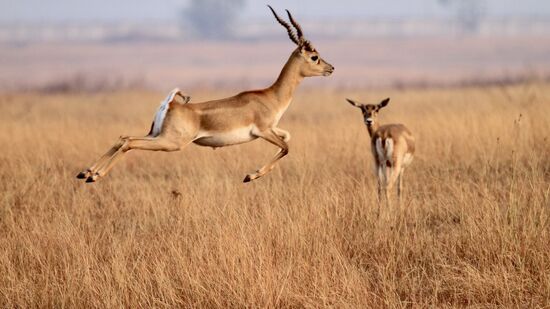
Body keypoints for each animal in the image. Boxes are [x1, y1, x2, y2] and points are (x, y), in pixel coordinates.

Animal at [76, 6, 336, 183]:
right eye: (314, 56)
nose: (330, 68)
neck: (270, 96)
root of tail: (171, 104)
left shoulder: (273, 129)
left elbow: (288, 137)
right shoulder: (263, 131)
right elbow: (286, 147)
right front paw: (250, 176)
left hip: (156, 135)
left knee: (123, 137)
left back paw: (86, 172)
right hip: (171, 143)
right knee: (130, 142)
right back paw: (95, 176)